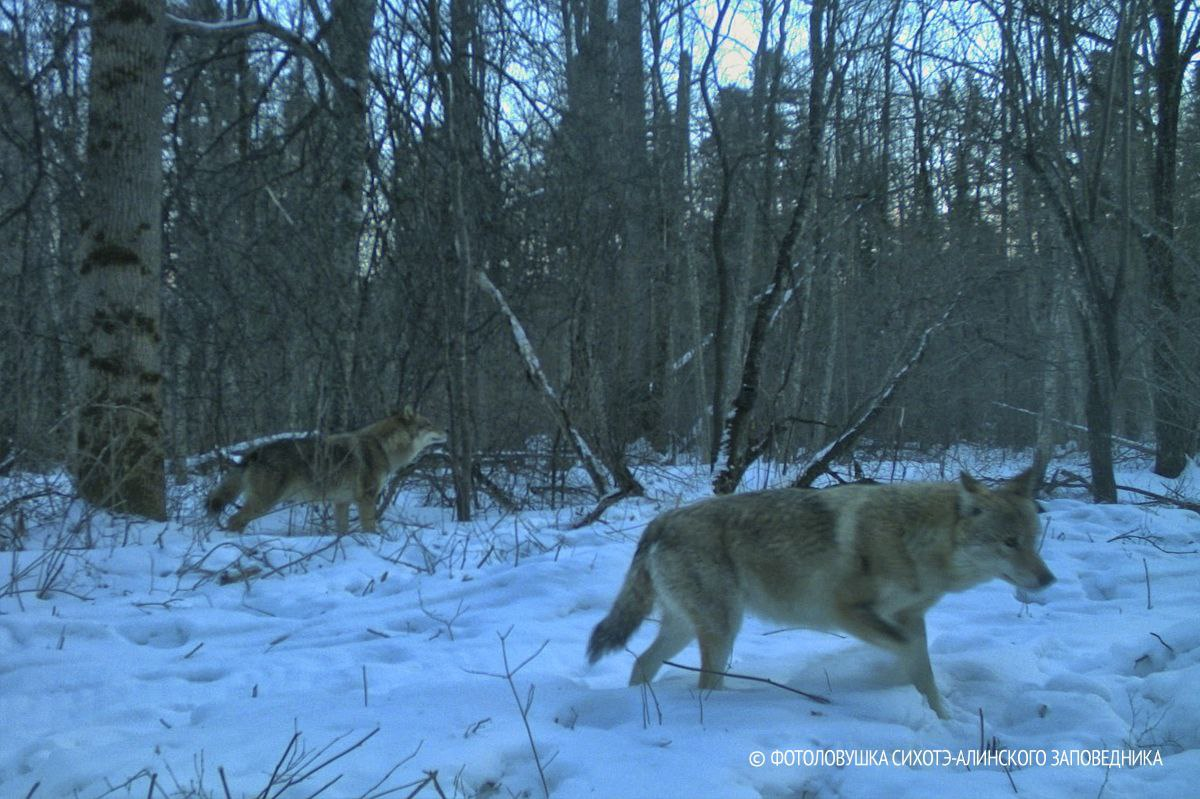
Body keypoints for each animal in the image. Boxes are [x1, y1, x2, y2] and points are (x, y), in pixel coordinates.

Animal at [204, 407, 448, 532]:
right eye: (428, 424)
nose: (446, 432)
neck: (383, 446)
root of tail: (253, 452)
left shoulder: (341, 502)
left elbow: (342, 530)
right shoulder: (366, 499)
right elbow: (370, 528)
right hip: (263, 503)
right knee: (234, 520)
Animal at [585, 460, 1056, 715]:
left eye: (1033, 539)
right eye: (1009, 542)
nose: (1048, 580)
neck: (913, 536)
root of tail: (662, 519)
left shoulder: (910, 617)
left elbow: (924, 668)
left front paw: (942, 718)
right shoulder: (848, 612)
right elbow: (911, 653)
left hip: (688, 627)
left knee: (641, 664)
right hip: (722, 629)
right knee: (702, 683)